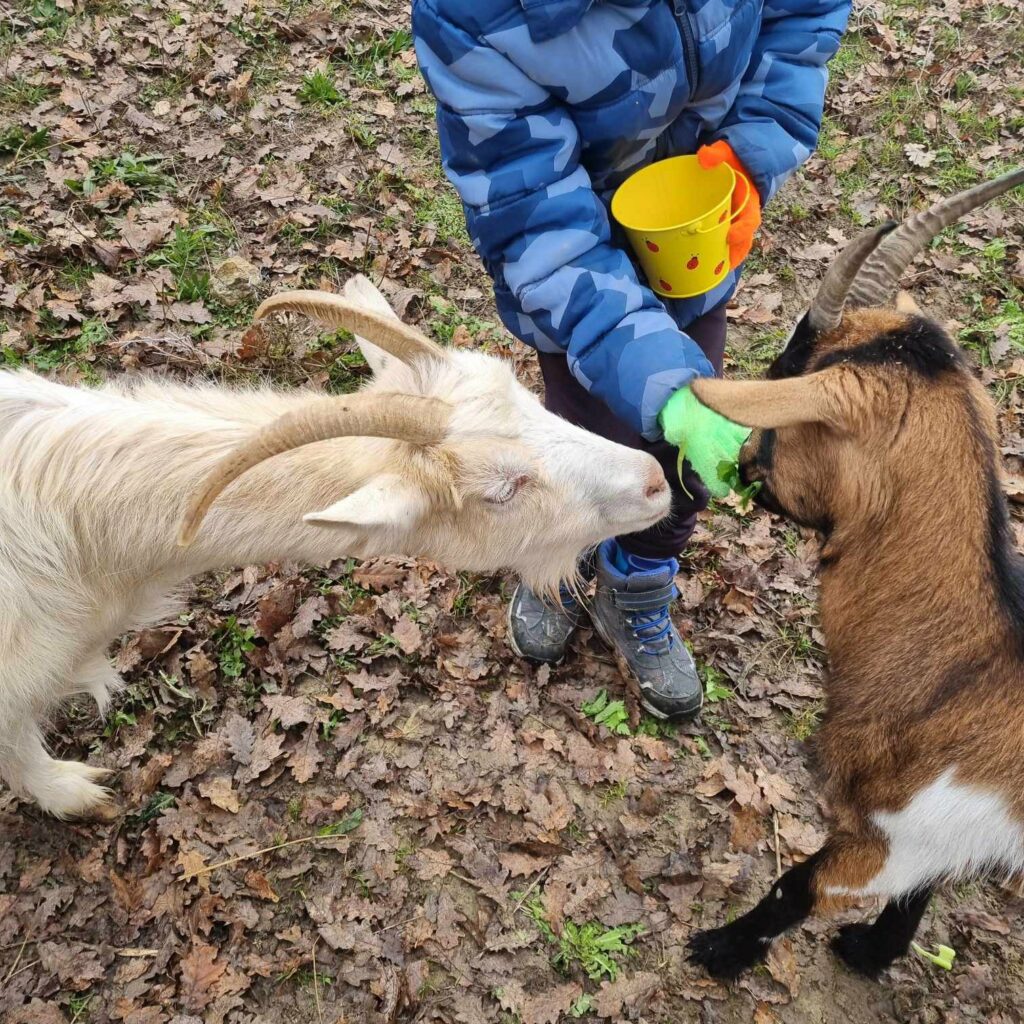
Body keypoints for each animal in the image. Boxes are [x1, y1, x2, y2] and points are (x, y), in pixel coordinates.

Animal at [684, 169, 1024, 983]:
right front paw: (871, 952)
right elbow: (920, 893)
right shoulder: (933, 840)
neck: (962, 676)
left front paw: (717, 951)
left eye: (798, 383)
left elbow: (795, 886)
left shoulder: (898, 836)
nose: (742, 463)